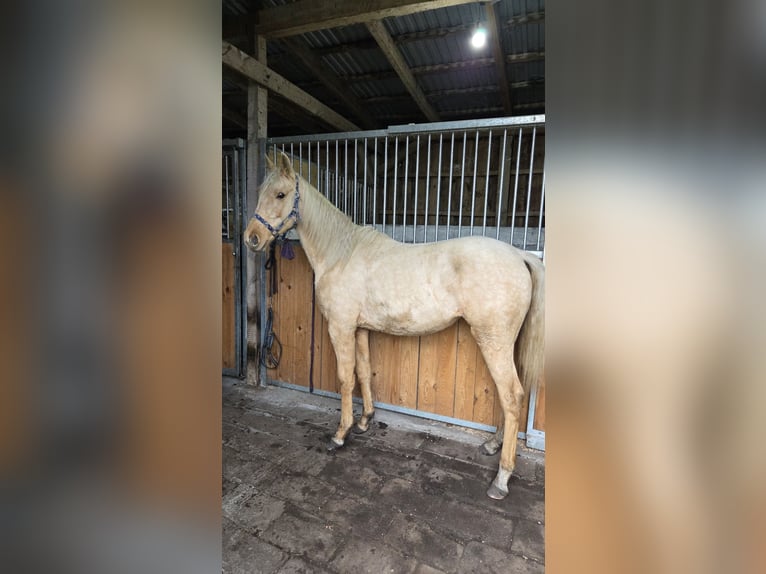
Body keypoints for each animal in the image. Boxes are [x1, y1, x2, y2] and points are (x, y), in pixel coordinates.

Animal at [244, 151, 544, 500]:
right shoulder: (360, 329)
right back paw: (492, 444)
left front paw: (341, 434)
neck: (341, 254)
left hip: (493, 341)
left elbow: (345, 378)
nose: (251, 238)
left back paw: (501, 479)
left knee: (511, 396)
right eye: (261, 192)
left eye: (280, 194)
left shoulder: (340, 327)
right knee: (508, 395)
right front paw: (365, 421)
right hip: (506, 344)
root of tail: (519, 255)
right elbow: (363, 371)